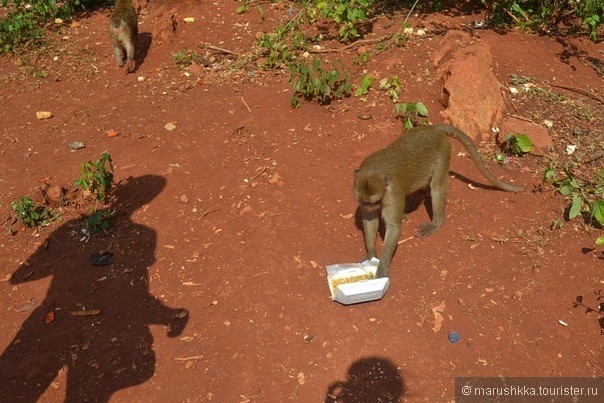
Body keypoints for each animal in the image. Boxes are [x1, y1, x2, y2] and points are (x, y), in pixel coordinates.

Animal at [354, 124, 524, 280]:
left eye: (375, 200)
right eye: (362, 201)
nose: (367, 208)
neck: (379, 170)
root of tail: (432, 128)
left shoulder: (392, 195)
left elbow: (394, 228)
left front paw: (382, 268)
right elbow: (370, 219)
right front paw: (370, 254)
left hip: (444, 150)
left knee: (436, 186)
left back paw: (436, 223)